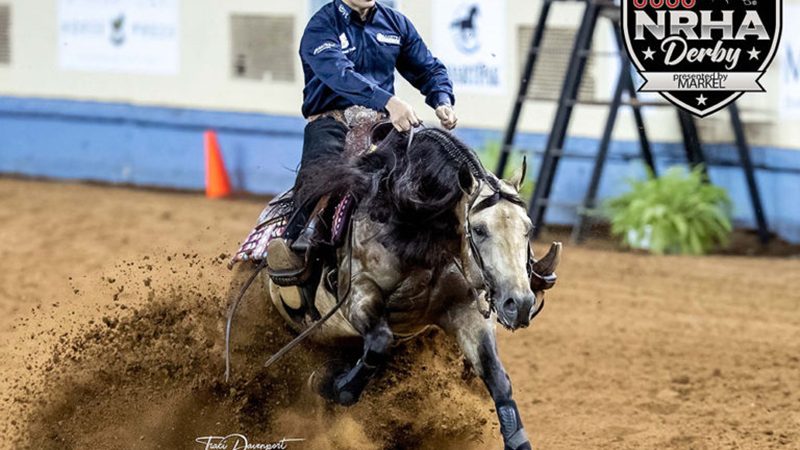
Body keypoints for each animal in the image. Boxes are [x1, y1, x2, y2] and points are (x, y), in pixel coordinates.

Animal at [228, 121, 560, 450]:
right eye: (478, 229)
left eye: (528, 228)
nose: (519, 304)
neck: (415, 224)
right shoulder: (358, 295)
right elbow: (377, 344)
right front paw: (327, 383)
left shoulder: (465, 309)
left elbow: (497, 377)